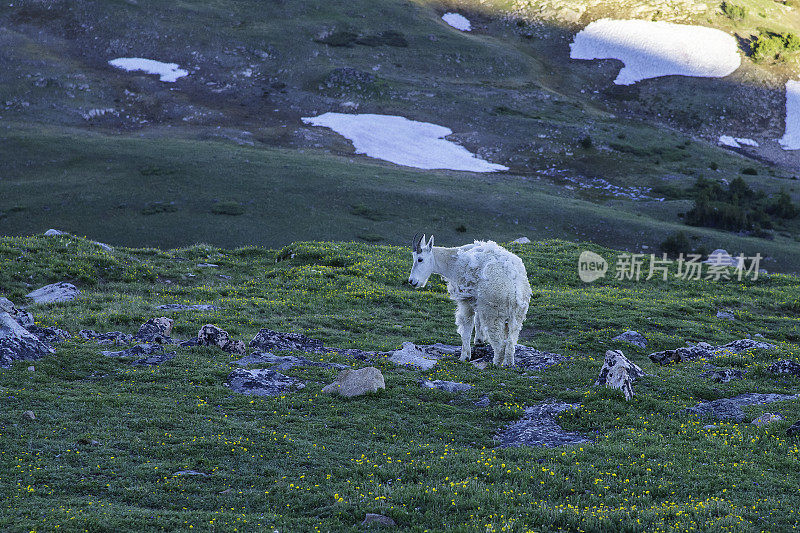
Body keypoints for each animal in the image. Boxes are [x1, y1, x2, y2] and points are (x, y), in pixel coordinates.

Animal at [406, 234, 532, 366]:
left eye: (420, 259)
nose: (412, 281)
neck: (452, 261)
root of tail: (515, 288)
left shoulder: (466, 299)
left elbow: (466, 326)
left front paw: (464, 356)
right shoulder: (477, 299)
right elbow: (477, 320)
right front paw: (479, 340)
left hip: (493, 313)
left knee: (500, 344)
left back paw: (495, 364)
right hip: (517, 315)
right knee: (511, 341)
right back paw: (509, 363)